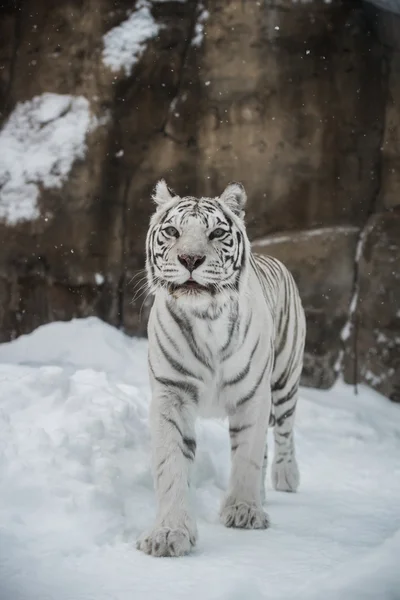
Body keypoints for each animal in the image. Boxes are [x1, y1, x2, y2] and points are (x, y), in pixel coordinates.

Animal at [138, 179, 306, 556]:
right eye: (172, 231)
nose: (190, 259)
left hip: (285, 379)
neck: (206, 316)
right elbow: (171, 464)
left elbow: (247, 455)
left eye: (216, 233)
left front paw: (244, 512)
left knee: (284, 433)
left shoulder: (253, 396)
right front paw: (169, 534)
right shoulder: (172, 393)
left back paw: (285, 478)